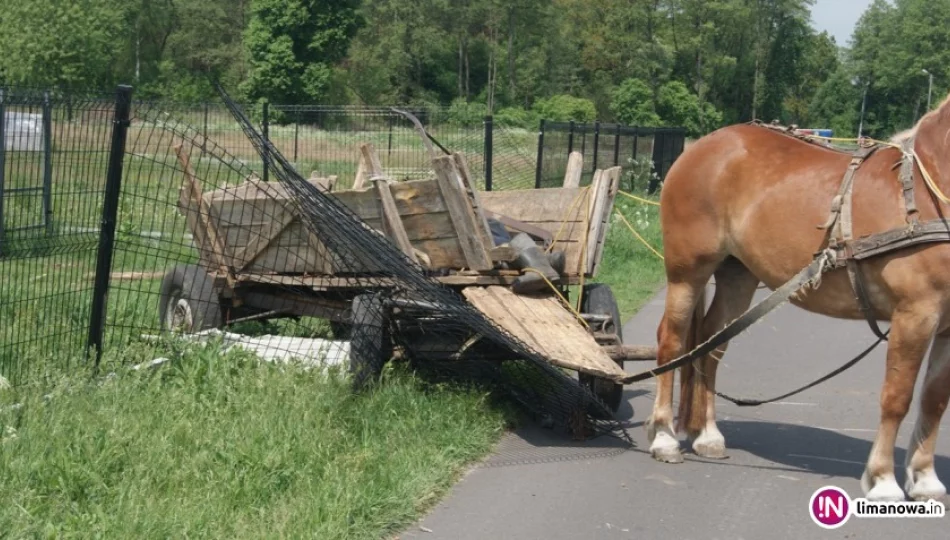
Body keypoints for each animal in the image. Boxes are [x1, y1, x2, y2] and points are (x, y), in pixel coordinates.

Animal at [652, 94, 950, 502]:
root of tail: (702, 146)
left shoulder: (946, 327)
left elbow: (933, 400)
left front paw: (924, 480)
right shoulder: (915, 315)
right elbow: (897, 398)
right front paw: (884, 481)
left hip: (737, 275)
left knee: (711, 346)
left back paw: (707, 435)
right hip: (687, 272)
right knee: (672, 341)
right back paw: (664, 437)